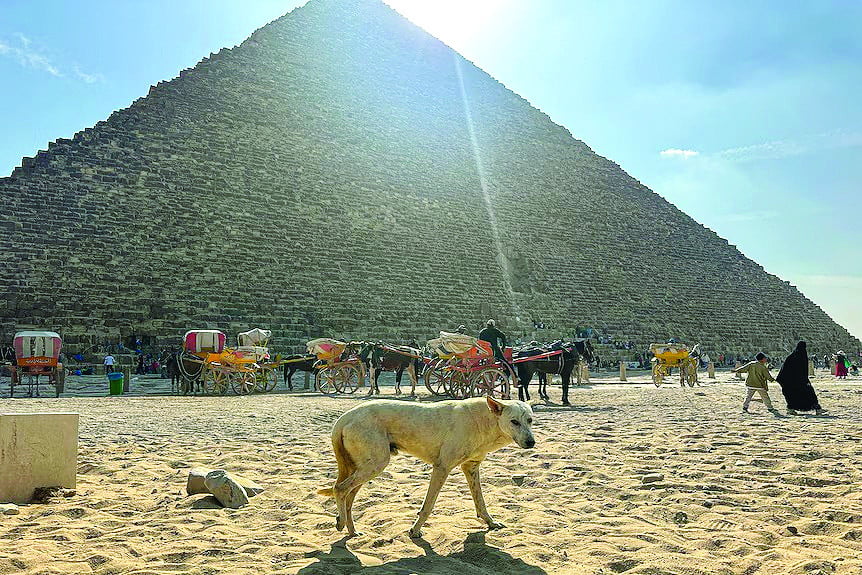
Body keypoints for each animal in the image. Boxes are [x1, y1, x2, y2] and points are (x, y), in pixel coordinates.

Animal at [318, 398, 532, 536]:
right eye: (514, 421)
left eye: (530, 420)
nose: (532, 442)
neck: (485, 420)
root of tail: (345, 417)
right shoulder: (441, 468)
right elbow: (428, 506)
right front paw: (415, 530)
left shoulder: (471, 468)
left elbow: (481, 502)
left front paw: (490, 522)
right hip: (376, 464)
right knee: (340, 489)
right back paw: (342, 522)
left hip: (364, 468)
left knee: (348, 497)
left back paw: (351, 530)